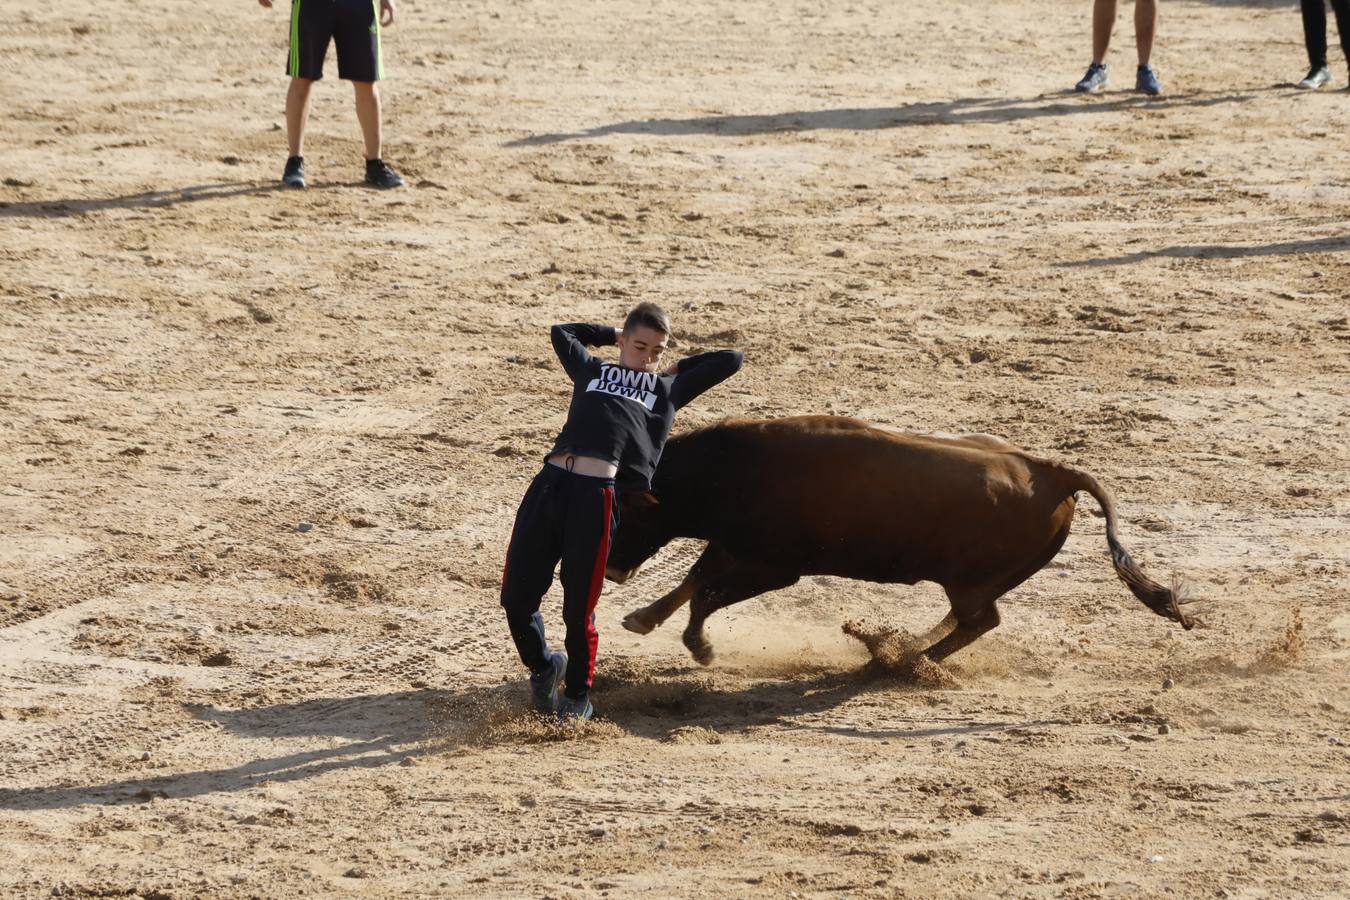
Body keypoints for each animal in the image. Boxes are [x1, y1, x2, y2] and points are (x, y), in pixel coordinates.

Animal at [604, 418, 1193, 666]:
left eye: (626, 515)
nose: (610, 569)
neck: (729, 469)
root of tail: (1052, 471)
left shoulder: (774, 567)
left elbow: (706, 593)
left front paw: (700, 647)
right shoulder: (734, 547)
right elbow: (695, 578)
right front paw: (643, 618)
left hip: (969, 581)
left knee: (979, 620)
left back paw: (901, 662)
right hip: (978, 581)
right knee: (968, 620)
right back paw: (903, 649)